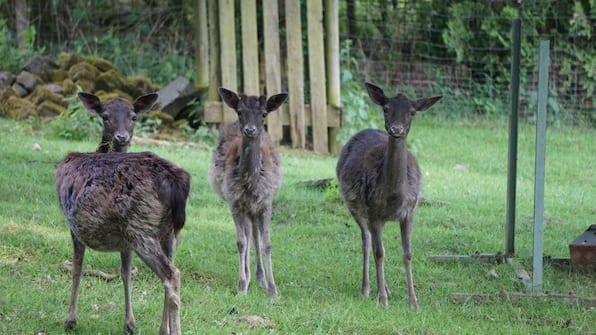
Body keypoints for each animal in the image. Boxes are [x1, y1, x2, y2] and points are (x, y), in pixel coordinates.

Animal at [55, 151, 191, 334]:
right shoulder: (126, 244)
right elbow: (125, 272)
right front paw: (129, 323)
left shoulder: (75, 229)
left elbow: (77, 269)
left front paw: (70, 321)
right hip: (168, 234)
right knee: (168, 274)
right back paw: (163, 330)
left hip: (141, 227)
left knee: (172, 275)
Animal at [210, 86, 288, 302]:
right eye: (240, 112)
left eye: (264, 114)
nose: (250, 130)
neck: (250, 183)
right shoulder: (234, 202)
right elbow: (240, 242)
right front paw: (242, 287)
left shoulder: (266, 203)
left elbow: (266, 244)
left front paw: (273, 291)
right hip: (243, 208)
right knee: (247, 234)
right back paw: (249, 275)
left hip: (254, 209)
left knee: (254, 234)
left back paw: (261, 278)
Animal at [338, 82, 440, 308]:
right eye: (386, 109)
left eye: (412, 112)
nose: (396, 129)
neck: (393, 199)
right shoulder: (374, 212)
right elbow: (380, 253)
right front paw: (382, 301)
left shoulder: (410, 211)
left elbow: (407, 254)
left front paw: (413, 302)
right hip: (353, 205)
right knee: (367, 240)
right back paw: (368, 289)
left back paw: (384, 288)